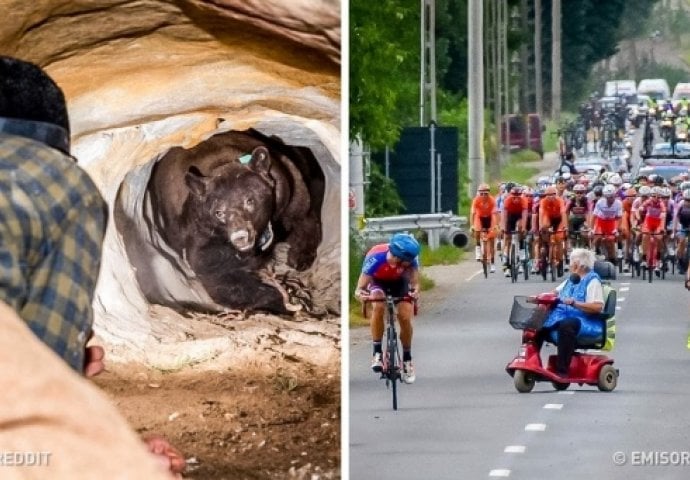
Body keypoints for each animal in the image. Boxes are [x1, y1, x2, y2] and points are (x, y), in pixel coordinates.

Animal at [148, 128, 322, 316]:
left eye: (249, 200)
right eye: (218, 212)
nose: (240, 237)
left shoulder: (286, 189)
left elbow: (303, 216)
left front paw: (300, 258)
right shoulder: (201, 232)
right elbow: (218, 274)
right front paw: (282, 301)